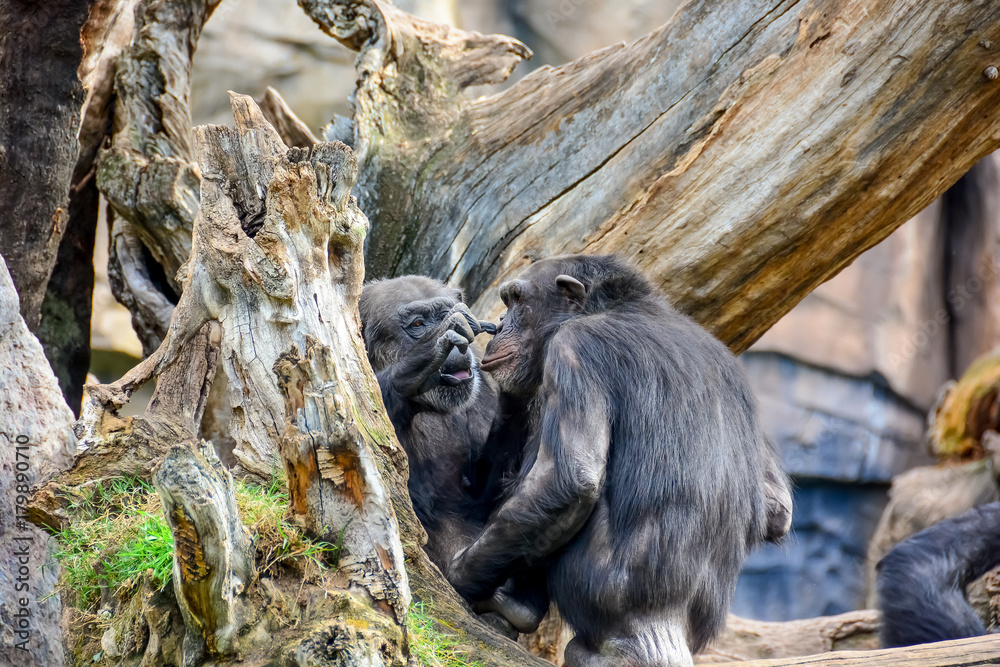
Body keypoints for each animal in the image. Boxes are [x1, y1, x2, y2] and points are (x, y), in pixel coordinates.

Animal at [446, 254, 788, 667]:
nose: (497, 323)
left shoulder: (574, 347)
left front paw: (459, 576)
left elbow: (568, 480)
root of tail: (662, 628)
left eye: (516, 300)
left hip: (593, 589)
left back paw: (515, 604)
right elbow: (778, 506)